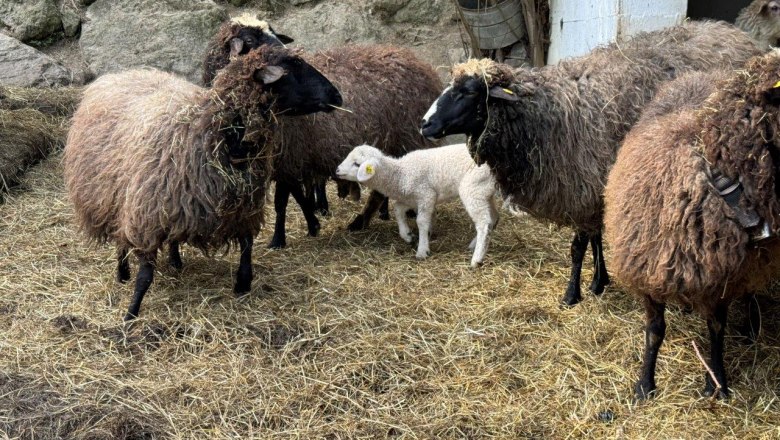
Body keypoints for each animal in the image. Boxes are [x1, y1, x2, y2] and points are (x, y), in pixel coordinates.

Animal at [64, 45, 342, 320]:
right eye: (294, 65)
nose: (337, 96)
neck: (212, 130)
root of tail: (122, 74)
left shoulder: (243, 206)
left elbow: (247, 246)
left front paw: (243, 284)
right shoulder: (148, 215)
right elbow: (145, 274)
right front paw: (131, 313)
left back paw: (175, 261)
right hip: (109, 196)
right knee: (119, 239)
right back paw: (122, 273)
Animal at [202, 17, 441, 249]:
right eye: (250, 40)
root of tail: (418, 62)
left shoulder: (289, 156)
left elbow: (282, 202)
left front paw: (279, 239)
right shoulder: (291, 160)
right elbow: (299, 196)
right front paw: (312, 223)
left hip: (406, 140)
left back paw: (367, 220)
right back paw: (364, 220)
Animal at [336, 143, 498, 267]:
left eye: (357, 164)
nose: (337, 170)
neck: (400, 174)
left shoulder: (426, 195)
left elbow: (421, 221)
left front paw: (422, 249)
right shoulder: (411, 199)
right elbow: (398, 209)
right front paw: (407, 235)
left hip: (473, 188)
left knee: (484, 224)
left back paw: (477, 258)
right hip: (485, 192)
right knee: (493, 219)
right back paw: (475, 245)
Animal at [420, 20, 761, 306]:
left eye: (468, 92)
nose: (424, 124)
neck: (544, 116)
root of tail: (733, 32)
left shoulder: (583, 185)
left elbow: (577, 247)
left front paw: (572, 294)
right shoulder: (593, 188)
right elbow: (596, 237)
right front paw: (600, 281)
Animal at [603, 50, 780, 399]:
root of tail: (701, 73)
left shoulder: (723, 279)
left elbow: (716, 330)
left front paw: (717, 382)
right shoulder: (647, 267)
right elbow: (654, 331)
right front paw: (645, 384)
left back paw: (751, 325)